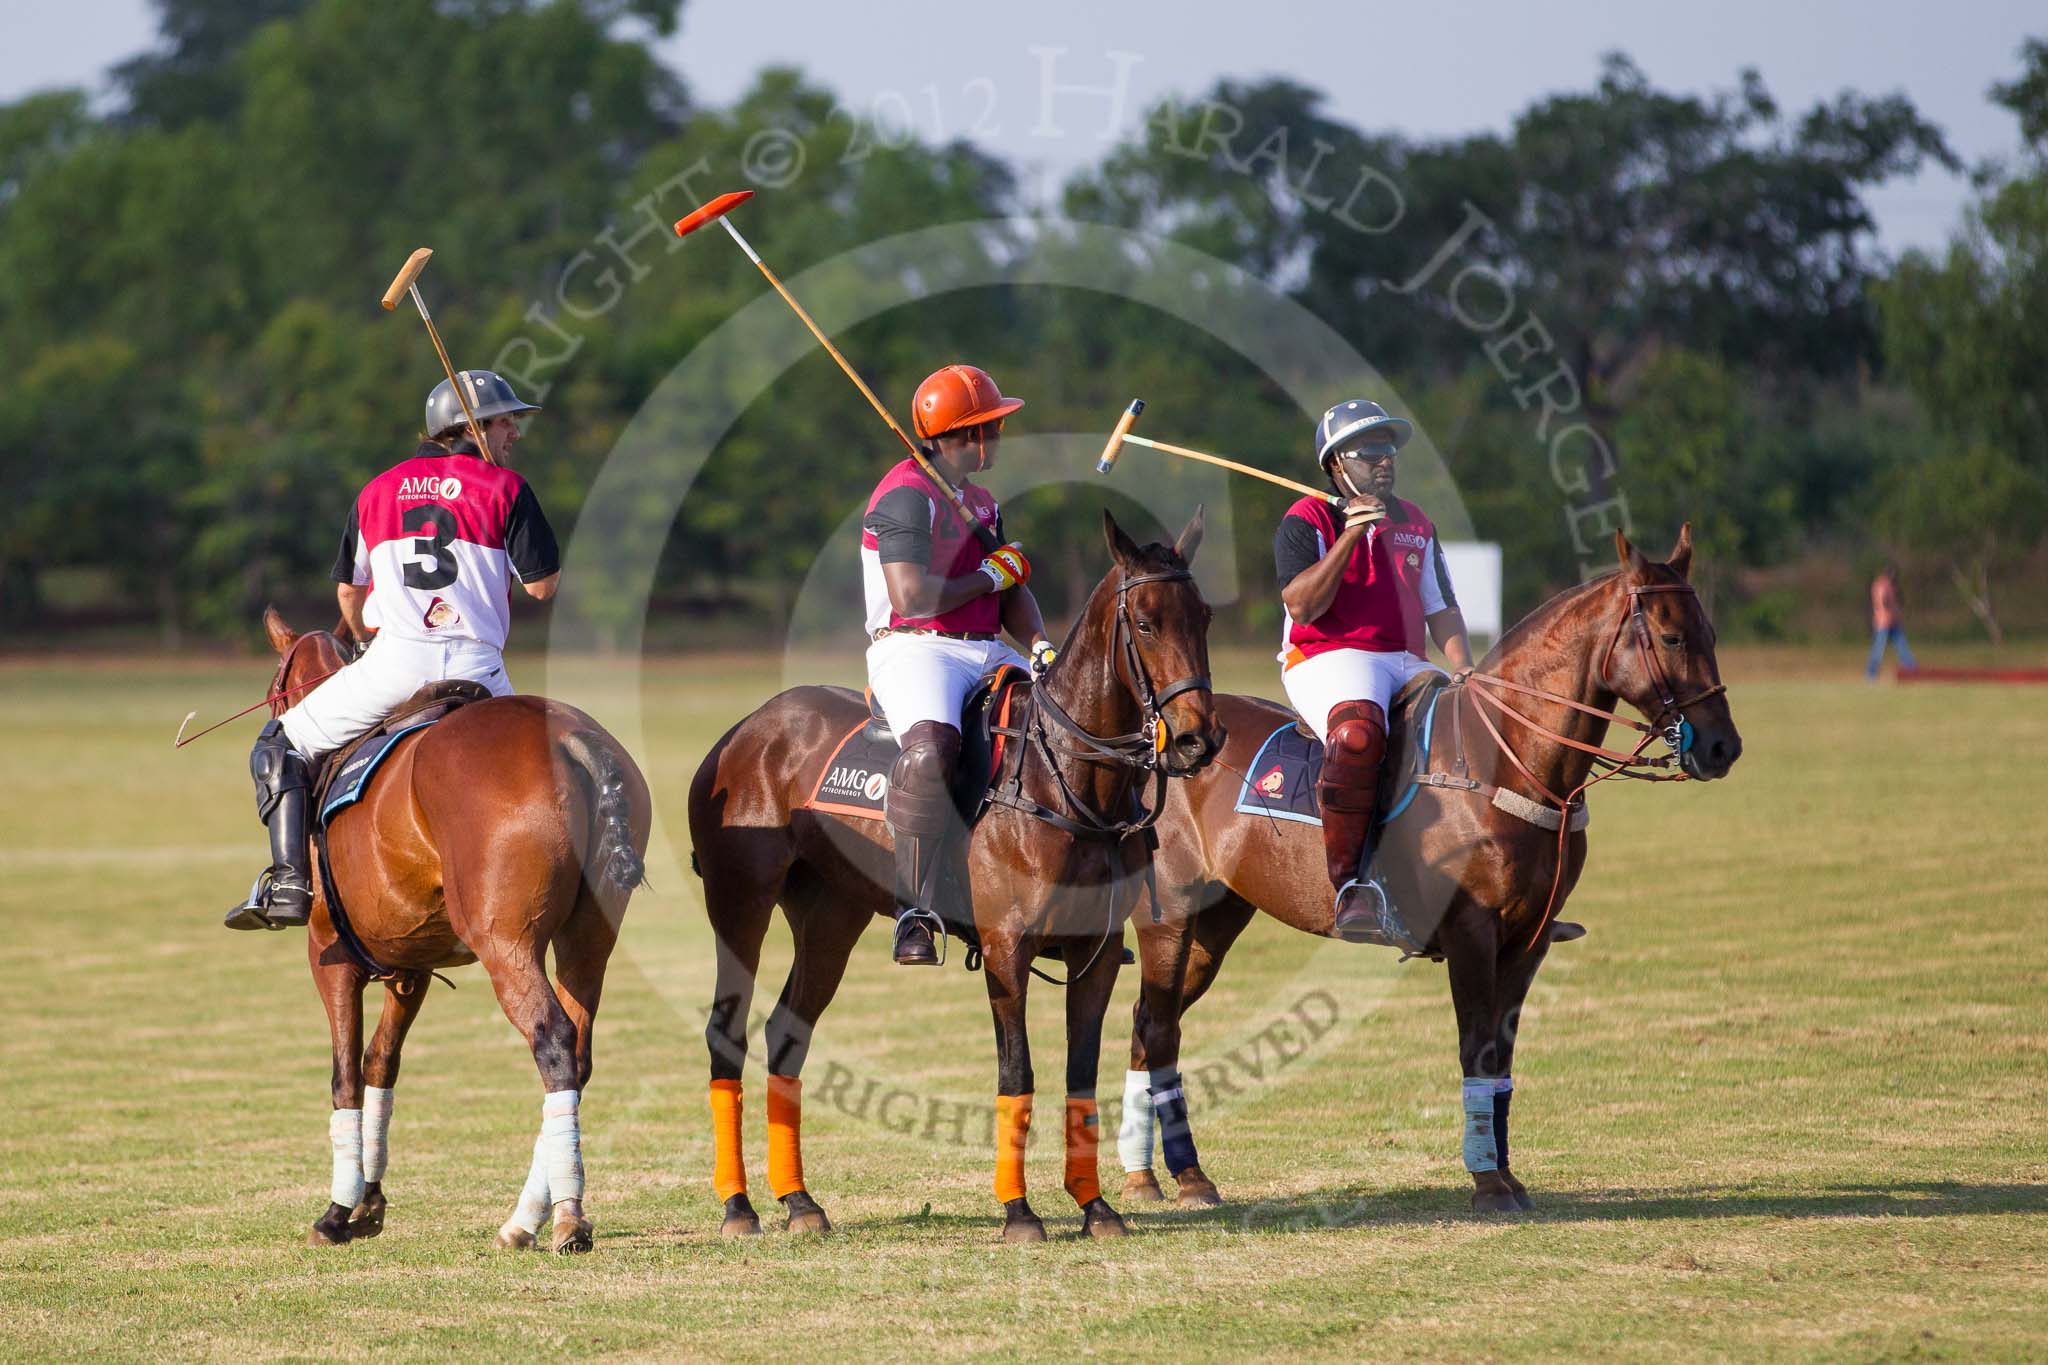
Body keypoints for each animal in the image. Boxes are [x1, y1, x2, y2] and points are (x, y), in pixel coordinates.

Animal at [256, 613, 651, 1252]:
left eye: (275, 683)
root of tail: (570, 735)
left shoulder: (329, 955)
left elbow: (344, 1074)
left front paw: (337, 1212)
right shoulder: (409, 966)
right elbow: (380, 1063)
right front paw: (368, 1203)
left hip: (506, 943)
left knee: (552, 1040)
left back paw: (565, 1216)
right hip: (590, 937)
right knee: (580, 1050)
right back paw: (526, 1220)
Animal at [688, 511, 1228, 1252]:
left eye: (1203, 616)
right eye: (1145, 622)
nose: (1200, 741)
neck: (1068, 776)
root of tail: (740, 733)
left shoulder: (1093, 957)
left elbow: (1081, 1074)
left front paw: (1095, 1208)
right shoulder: (1007, 949)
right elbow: (1017, 1072)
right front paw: (1020, 1213)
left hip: (829, 916)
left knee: (786, 1035)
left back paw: (799, 1201)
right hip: (740, 902)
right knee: (728, 1030)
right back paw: (738, 1206)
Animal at [1114, 532, 1736, 1219]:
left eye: (1710, 632)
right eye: (1673, 638)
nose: (1722, 747)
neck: (1510, 761)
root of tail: (1158, 736)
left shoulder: (1529, 942)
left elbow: (1502, 1061)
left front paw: (1508, 1176)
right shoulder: (1471, 932)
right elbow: (1476, 1049)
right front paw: (1489, 1183)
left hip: (1216, 921)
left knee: (1154, 1026)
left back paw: (1166, 1175)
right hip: (1169, 919)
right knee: (1156, 1026)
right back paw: (1165, 1177)